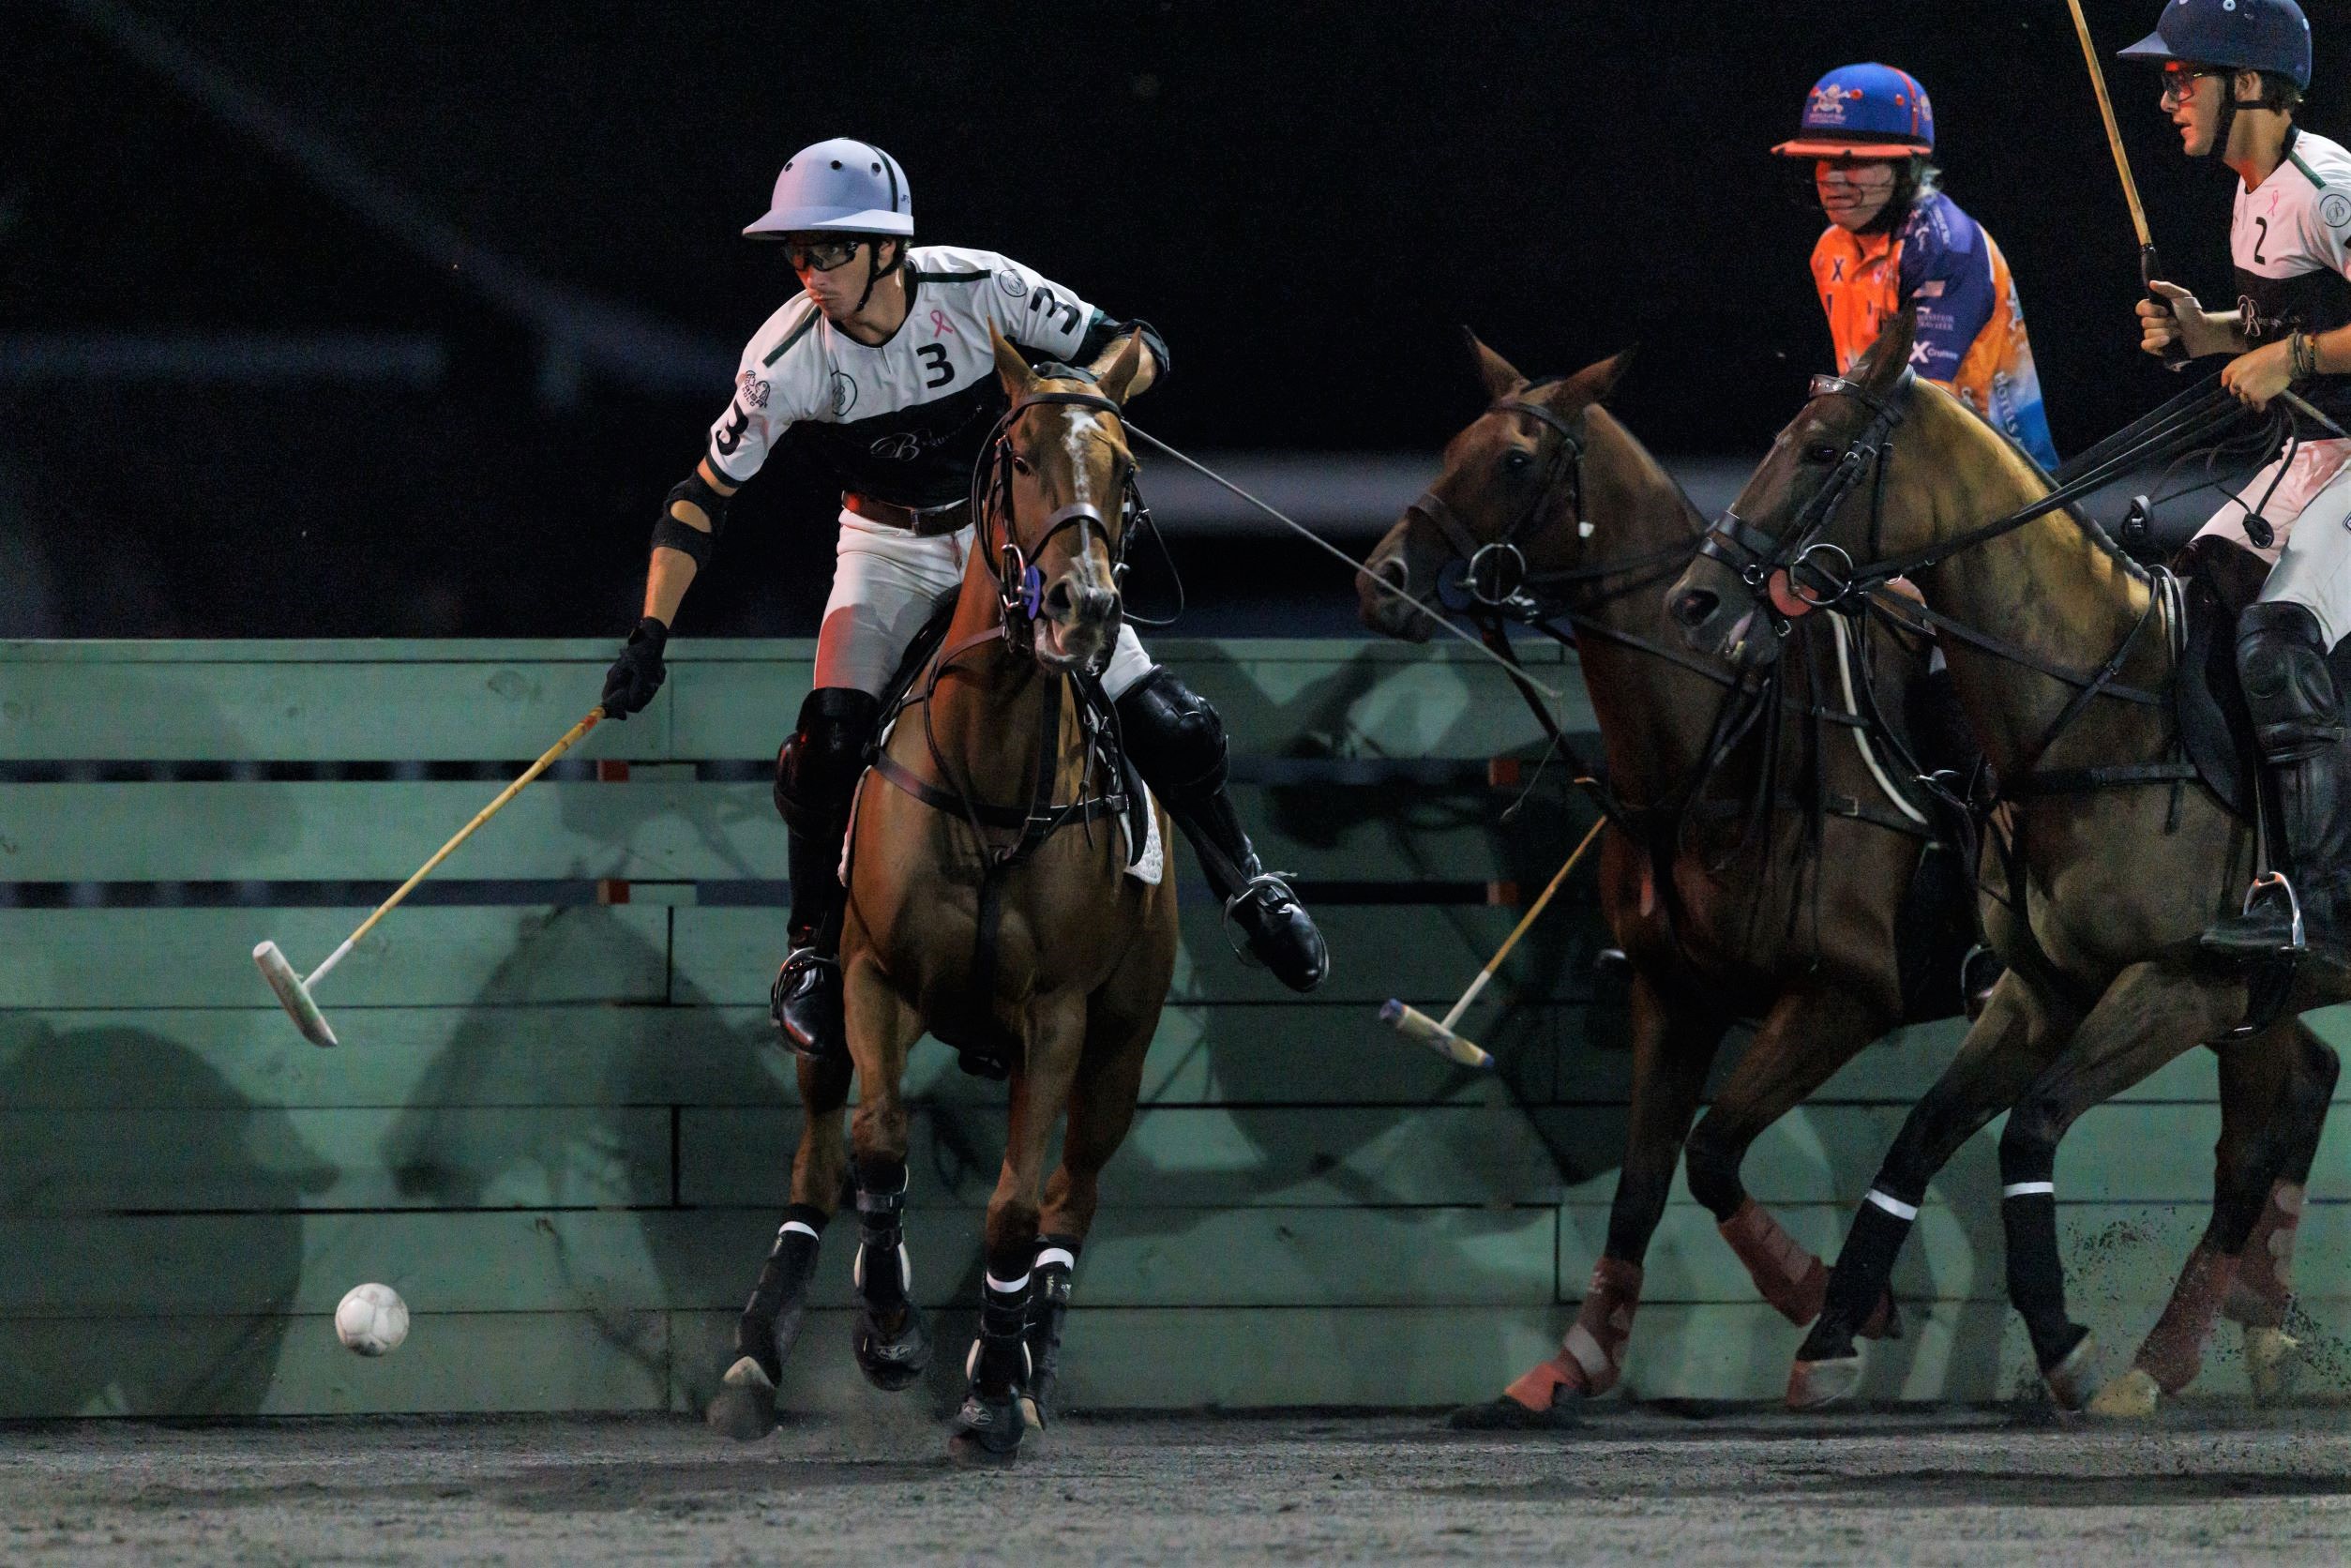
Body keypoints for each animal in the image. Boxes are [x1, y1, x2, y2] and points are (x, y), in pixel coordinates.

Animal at [696, 333, 1175, 1476]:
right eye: (1022, 461)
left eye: (1126, 468)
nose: (1083, 609)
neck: (990, 773)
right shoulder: (877, 978)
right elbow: (877, 1145)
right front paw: (886, 1334)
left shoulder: (1057, 1017)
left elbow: (1012, 1211)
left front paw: (994, 1388)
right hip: (830, 1018)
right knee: (820, 1158)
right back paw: (756, 1355)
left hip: (1121, 1049)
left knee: (1070, 1198)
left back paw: (1030, 1364)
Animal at [1354, 333, 1937, 1420]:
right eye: (1452, 446)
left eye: (1514, 461)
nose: (1383, 581)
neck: (1719, 740)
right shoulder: (1672, 993)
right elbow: (1640, 1186)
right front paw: (1567, 1365)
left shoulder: (1844, 995)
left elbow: (1711, 1152)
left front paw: (1825, 1302)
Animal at [1664, 309, 2341, 1420]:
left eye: (1820, 451)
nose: (1693, 601)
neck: (2101, 705)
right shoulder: (2038, 989)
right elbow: (1916, 1138)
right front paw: (1832, 1334)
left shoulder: (2182, 983)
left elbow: (2028, 1132)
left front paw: (2065, 1343)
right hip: (2264, 1001)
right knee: (2279, 1112)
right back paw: (2225, 1345)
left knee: (2253, 1143)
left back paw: (2169, 1359)